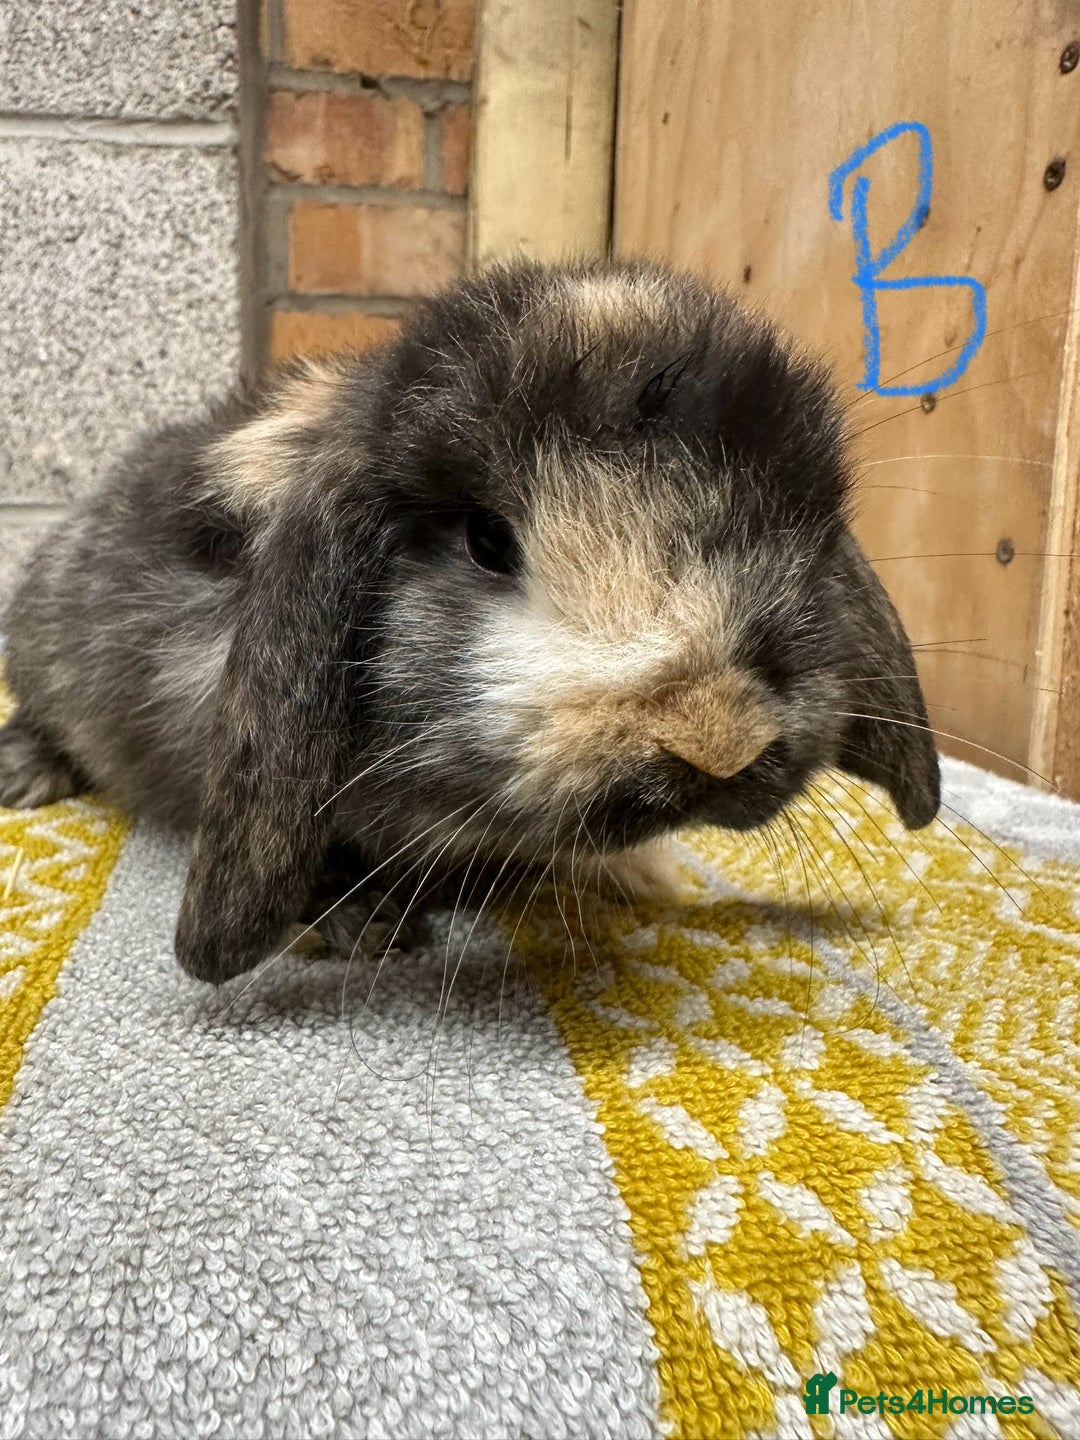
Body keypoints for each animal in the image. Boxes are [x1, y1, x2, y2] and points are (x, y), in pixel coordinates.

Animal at [0, 259, 939, 984]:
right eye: (487, 542)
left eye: (801, 534)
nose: (716, 737)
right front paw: (370, 929)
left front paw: (648, 877)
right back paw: (25, 773)